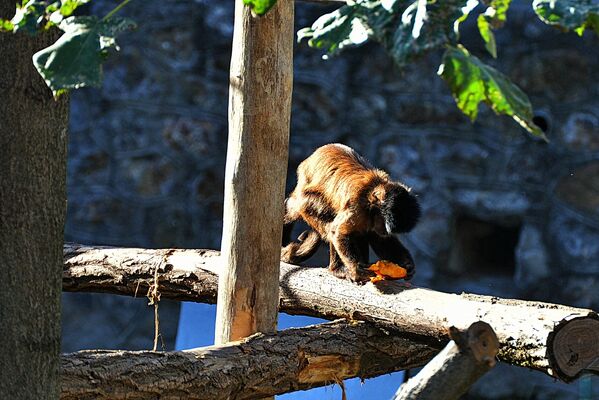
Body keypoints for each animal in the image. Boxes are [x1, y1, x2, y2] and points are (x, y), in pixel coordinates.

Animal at [282, 143, 420, 282]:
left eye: (387, 230)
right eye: (384, 224)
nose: (384, 232)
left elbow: (380, 240)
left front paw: (407, 265)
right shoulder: (357, 207)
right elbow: (336, 232)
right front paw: (356, 269)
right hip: (306, 201)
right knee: (328, 224)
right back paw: (337, 269)